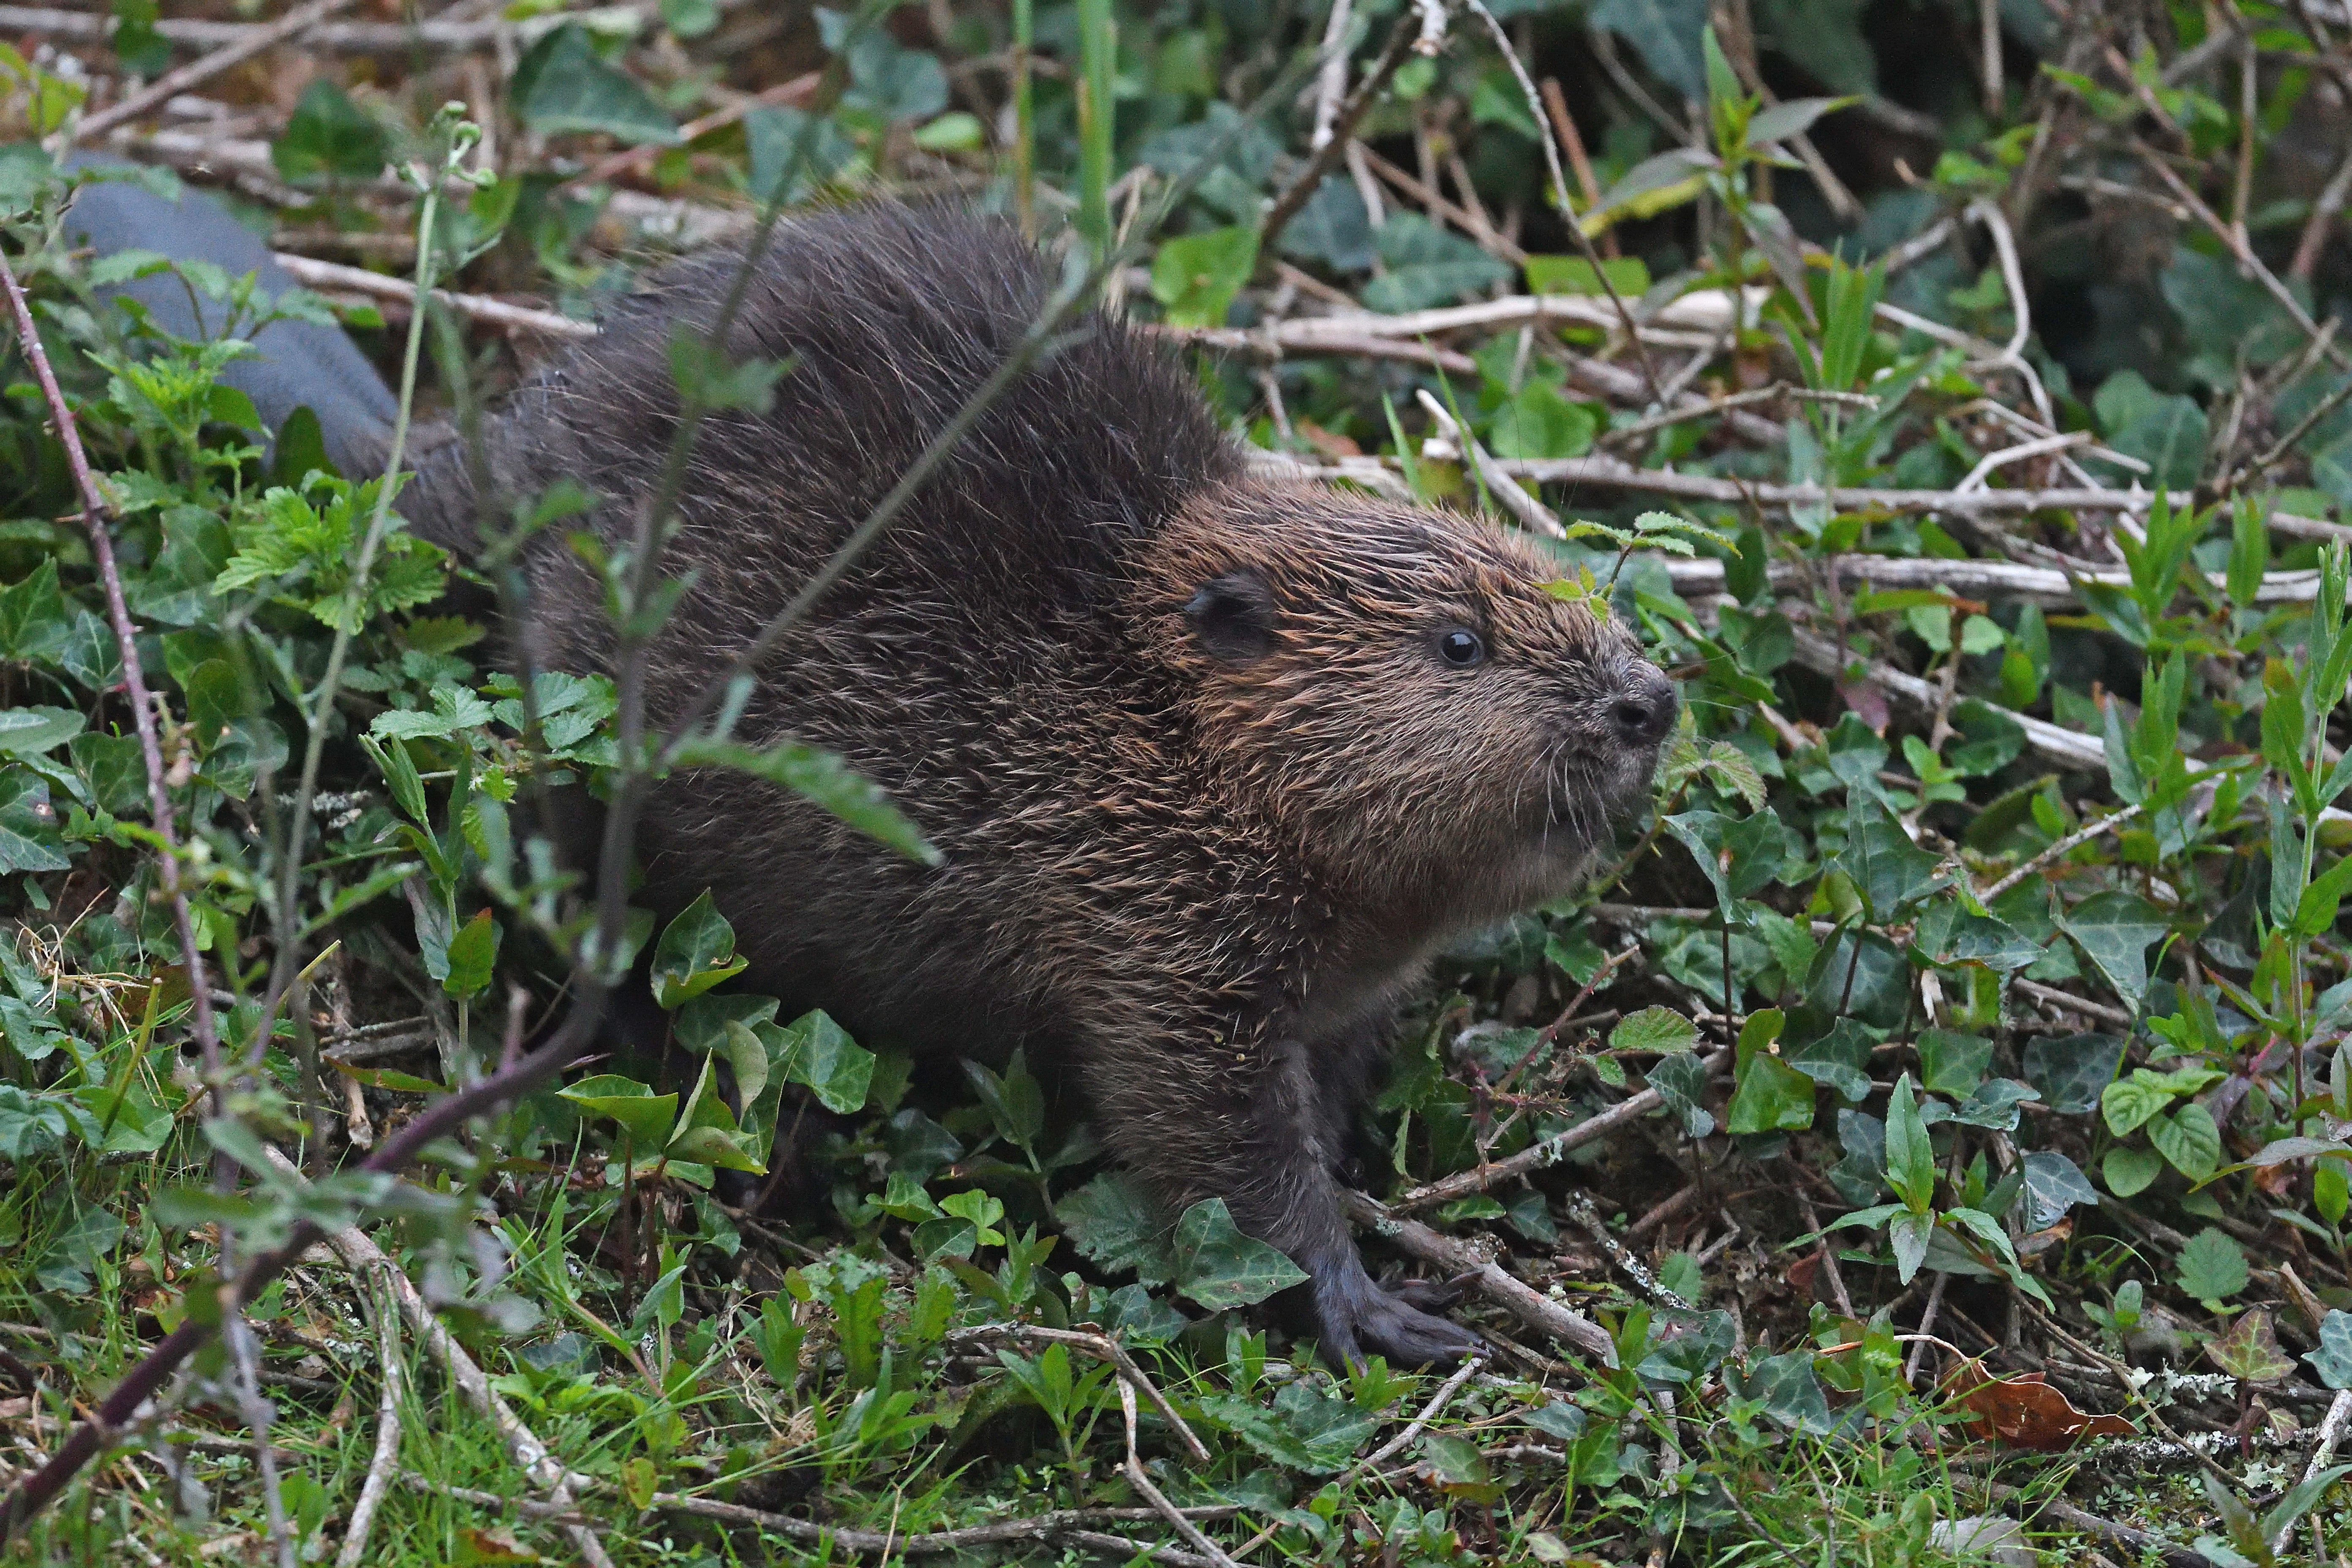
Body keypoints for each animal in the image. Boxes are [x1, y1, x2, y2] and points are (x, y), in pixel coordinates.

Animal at [92, 190, 1684, 1363]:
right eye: (1459, 640)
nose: (1647, 699)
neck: (1134, 710)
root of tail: (435, 471)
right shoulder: (1150, 923)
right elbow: (1208, 1139)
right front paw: (1373, 1305)